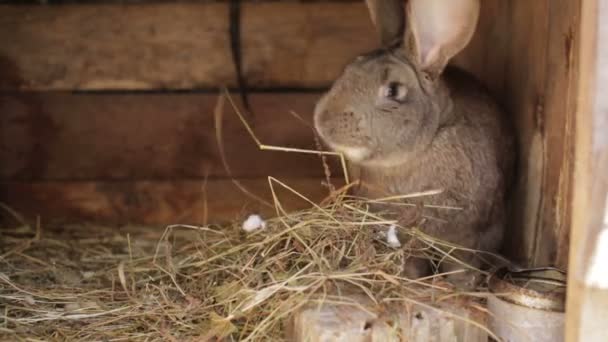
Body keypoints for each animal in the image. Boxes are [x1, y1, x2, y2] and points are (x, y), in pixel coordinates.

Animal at [316, 0, 516, 286]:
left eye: (393, 90)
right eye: (347, 71)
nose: (322, 121)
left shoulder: (471, 236)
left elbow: (461, 266)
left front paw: (460, 286)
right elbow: (413, 261)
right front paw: (409, 280)